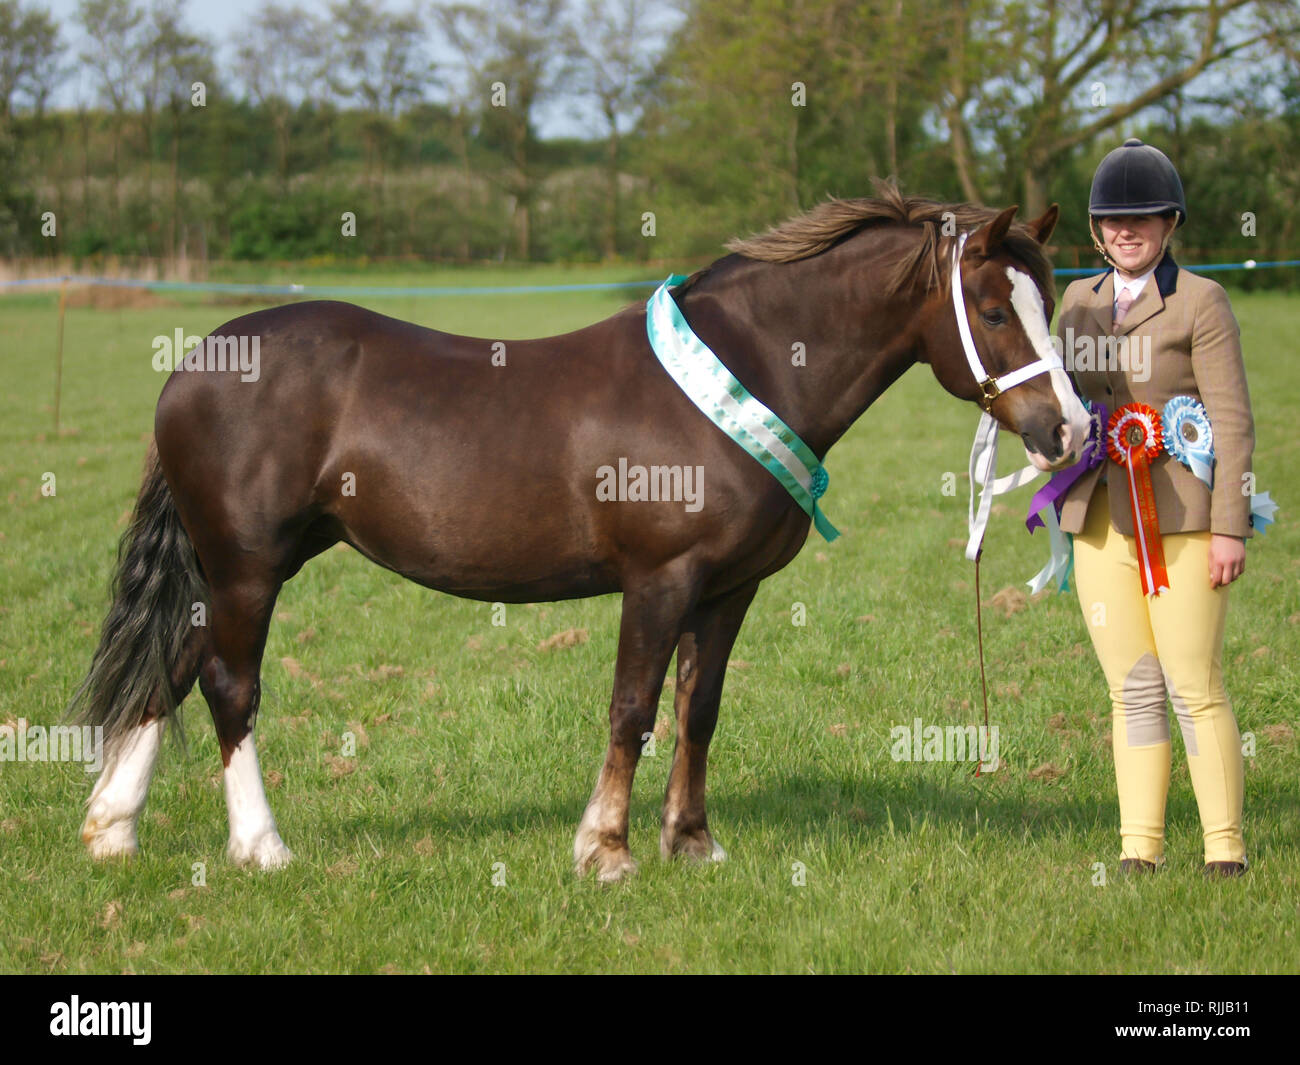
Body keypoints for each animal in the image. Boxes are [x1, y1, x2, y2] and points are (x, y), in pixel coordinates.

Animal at [68, 185, 1086, 884]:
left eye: (1046, 299)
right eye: (994, 309)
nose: (1067, 429)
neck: (743, 374)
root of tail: (196, 363)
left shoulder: (728, 590)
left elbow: (699, 710)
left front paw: (692, 842)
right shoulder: (661, 579)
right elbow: (633, 707)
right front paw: (606, 850)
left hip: (234, 564)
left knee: (170, 666)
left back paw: (112, 830)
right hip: (249, 565)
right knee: (228, 685)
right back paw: (261, 845)